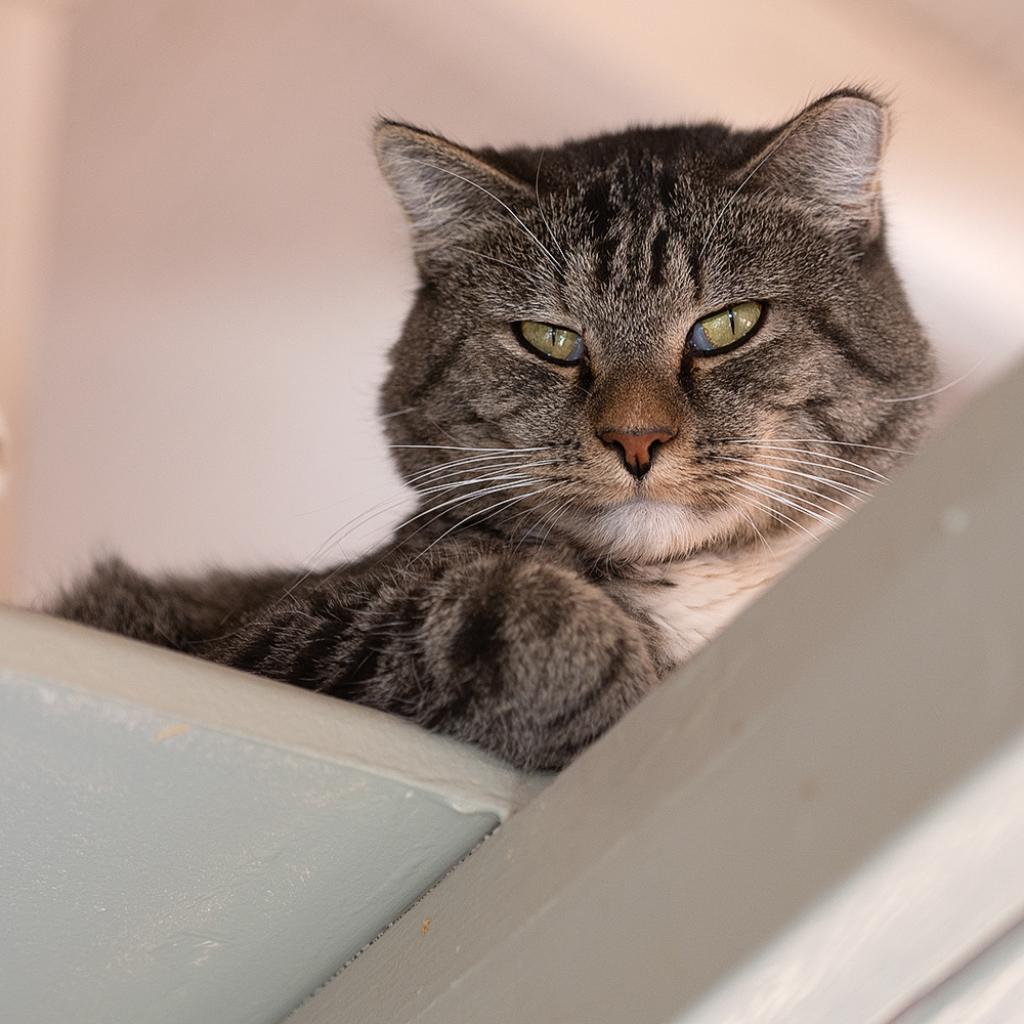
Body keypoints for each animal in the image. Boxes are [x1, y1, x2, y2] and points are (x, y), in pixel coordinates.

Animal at [54, 90, 937, 770]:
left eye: (727, 325)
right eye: (550, 339)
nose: (637, 439)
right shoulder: (252, 637)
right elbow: (502, 606)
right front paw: (614, 677)